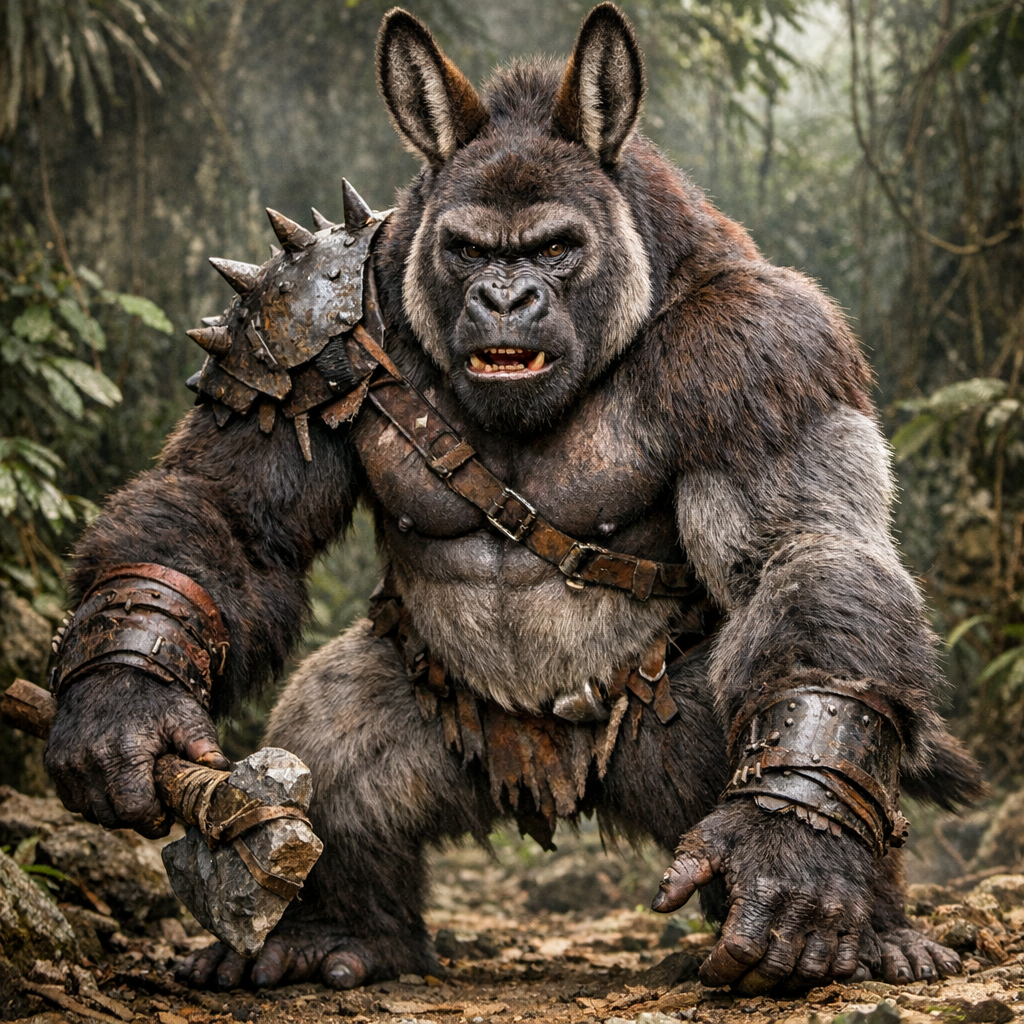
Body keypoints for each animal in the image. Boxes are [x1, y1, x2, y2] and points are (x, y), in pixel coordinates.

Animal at [44, 3, 983, 995]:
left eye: (555, 248)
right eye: (467, 250)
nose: (503, 298)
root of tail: (546, 785)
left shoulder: (765, 352)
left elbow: (802, 554)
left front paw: (791, 857)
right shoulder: (295, 316)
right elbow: (231, 518)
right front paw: (122, 706)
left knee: (785, 712)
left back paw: (864, 920)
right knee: (329, 733)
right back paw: (339, 930)